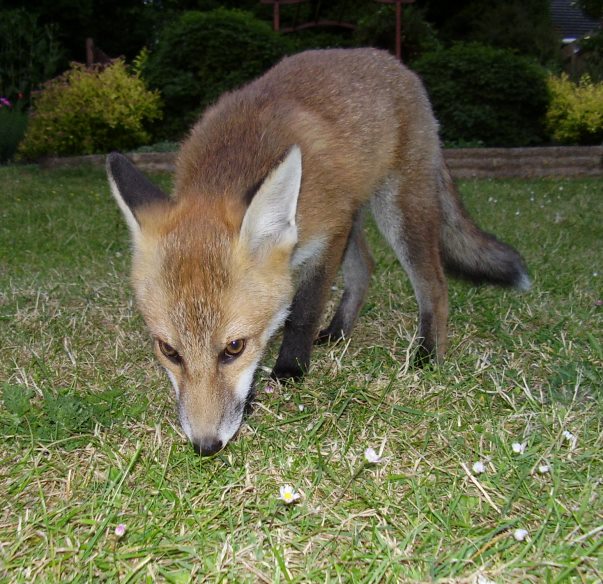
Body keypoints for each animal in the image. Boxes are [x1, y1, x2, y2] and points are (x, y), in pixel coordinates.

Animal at [107, 46, 528, 456]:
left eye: (234, 347)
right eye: (169, 350)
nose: (205, 446)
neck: (235, 160)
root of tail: (390, 60)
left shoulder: (327, 237)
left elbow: (302, 313)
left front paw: (290, 370)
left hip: (397, 210)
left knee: (434, 285)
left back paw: (426, 353)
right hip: (356, 216)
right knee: (366, 267)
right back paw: (340, 331)